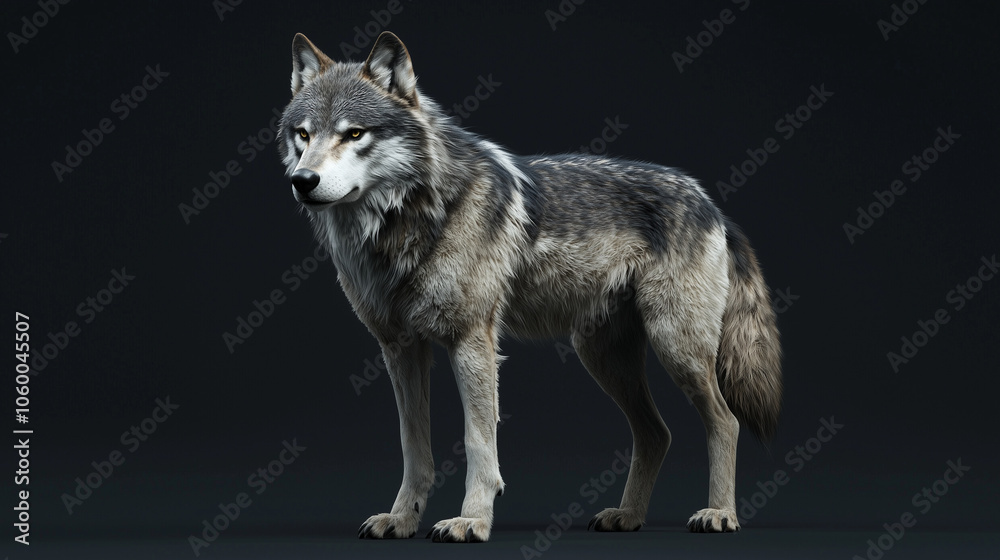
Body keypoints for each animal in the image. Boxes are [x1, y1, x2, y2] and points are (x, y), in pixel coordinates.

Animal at [278, 31, 782, 543]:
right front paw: (401, 519)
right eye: (304, 135)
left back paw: (719, 513)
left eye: (353, 134)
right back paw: (628, 516)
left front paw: (472, 520)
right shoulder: (400, 349)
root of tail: (713, 205)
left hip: (676, 347)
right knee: (657, 434)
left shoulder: (471, 341)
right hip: (602, 358)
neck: (406, 222)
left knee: (725, 421)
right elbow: (413, 447)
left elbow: (478, 442)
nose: (303, 180)